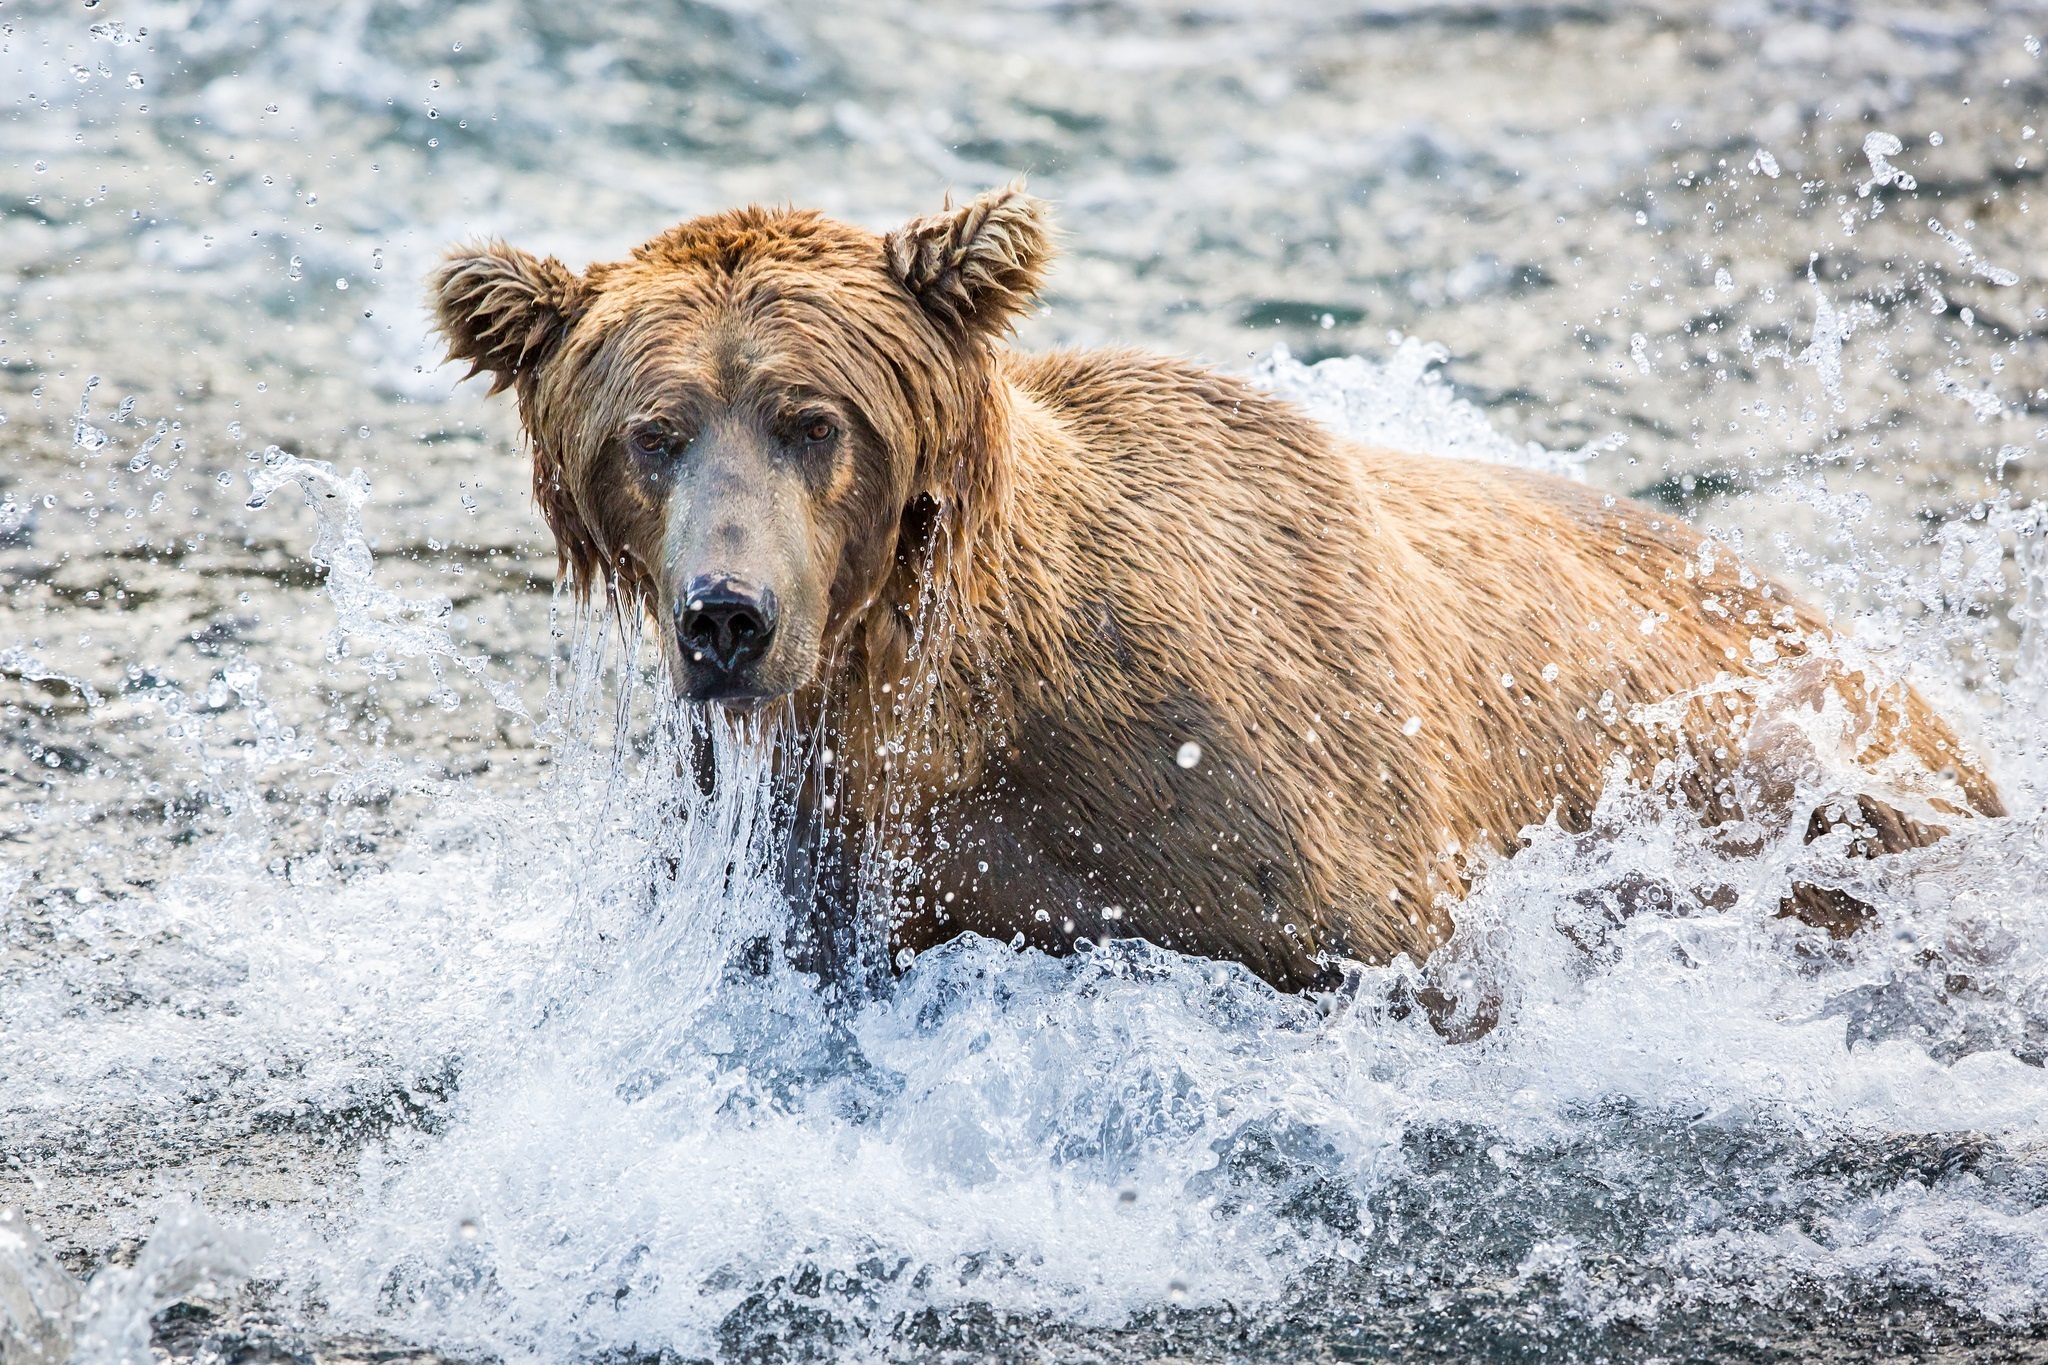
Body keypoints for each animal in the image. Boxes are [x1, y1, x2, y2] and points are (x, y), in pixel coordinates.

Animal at [428, 187, 1998, 998]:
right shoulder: (813, 858)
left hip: (1811, 794)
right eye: (654, 432)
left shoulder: (1288, 816)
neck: (964, 707)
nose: (727, 614)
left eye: (813, 420)